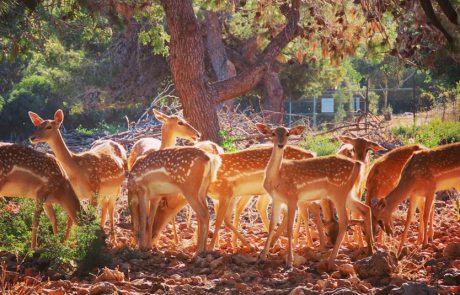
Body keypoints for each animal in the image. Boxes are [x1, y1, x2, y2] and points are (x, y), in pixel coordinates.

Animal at [28, 110, 126, 243]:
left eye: (49, 126)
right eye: (37, 126)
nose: (32, 137)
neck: (77, 170)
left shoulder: (94, 190)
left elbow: (89, 217)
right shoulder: (76, 192)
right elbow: (71, 220)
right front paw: (65, 242)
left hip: (116, 188)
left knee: (111, 207)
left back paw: (114, 239)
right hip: (104, 191)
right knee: (106, 206)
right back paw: (102, 230)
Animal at [255, 124, 374, 268]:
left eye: (288, 133)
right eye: (273, 133)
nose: (280, 144)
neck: (276, 178)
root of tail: (357, 164)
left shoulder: (293, 197)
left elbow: (289, 228)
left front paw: (289, 261)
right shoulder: (277, 199)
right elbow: (272, 225)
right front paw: (262, 257)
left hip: (339, 191)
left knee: (345, 220)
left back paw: (331, 260)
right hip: (348, 194)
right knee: (365, 208)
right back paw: (370, 250)